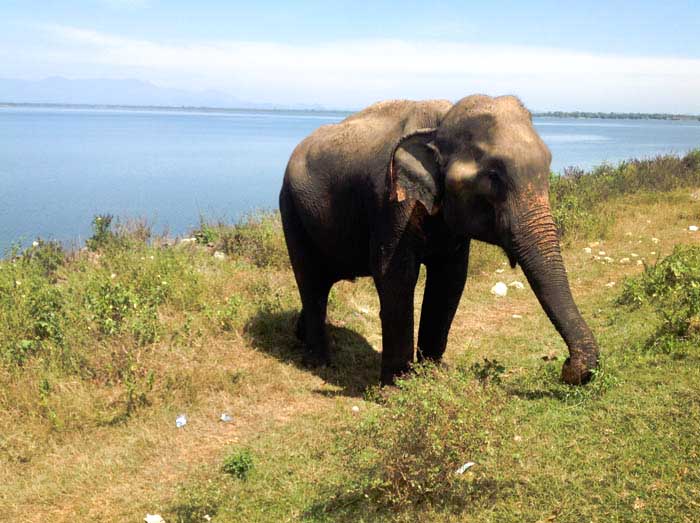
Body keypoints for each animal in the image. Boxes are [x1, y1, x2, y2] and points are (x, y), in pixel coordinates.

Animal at [279, 94, 599, 386]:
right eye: (493, 176)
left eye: (548, 165)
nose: (567, 366)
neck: (440, 124)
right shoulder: (391, 202)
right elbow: (395, 276)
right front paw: (396, 389)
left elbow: (450, 278)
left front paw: (434, 373)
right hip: (290, 209)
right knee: (309, 279)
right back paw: (319, 362)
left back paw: (301, 334)